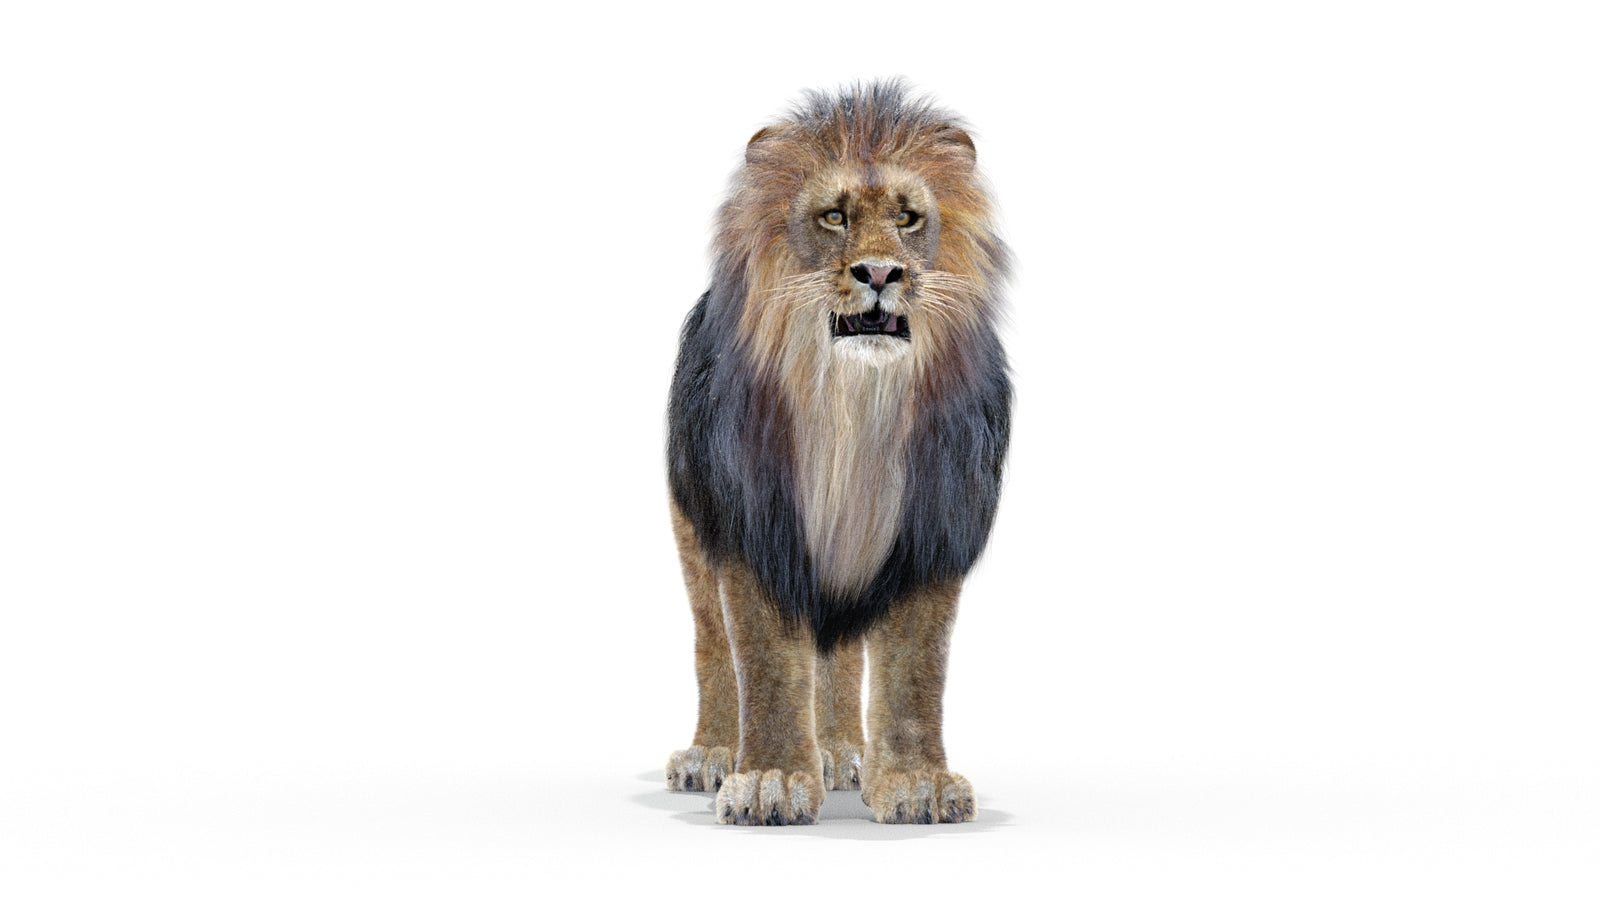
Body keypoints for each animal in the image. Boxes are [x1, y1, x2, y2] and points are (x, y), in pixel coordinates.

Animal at [663, 81, 1011, 825]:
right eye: (833, 216)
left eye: (907, 217)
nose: (880, 272)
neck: (855, 403)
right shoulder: (754, 523)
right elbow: (764, 660)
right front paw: (768, 780)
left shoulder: (932, 526)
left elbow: (915, 669)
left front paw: (917, 784)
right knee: (712, 644)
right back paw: (712, 754)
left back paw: (842, 752)